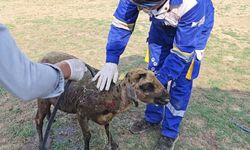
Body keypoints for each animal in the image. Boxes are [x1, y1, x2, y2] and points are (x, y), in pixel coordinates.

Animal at [34, 51, 169, 149]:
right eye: (147, 86)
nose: (167, 97)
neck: (110, 95)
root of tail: (44, 56)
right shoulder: (81, 114)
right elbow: (87, 136)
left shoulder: (105, 117)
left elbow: (108, 128)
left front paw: (113, 144)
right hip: (42, 100)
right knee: (38, 120)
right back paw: (41, 143)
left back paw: (51, 119)